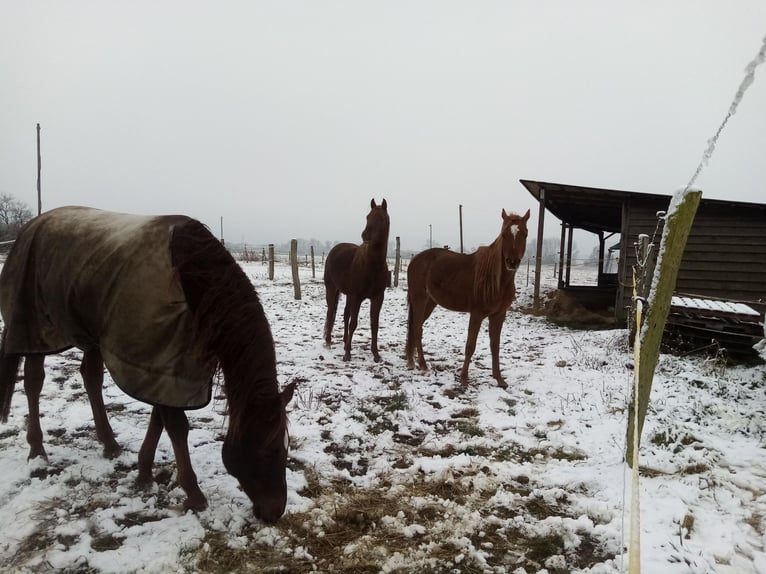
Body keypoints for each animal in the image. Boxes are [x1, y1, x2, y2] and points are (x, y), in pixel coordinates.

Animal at [0, 208, 296, 528]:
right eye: (269, 450)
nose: (275, 512)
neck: (192, 279)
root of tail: (30, 227)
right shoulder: (161, 356)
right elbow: (176, 426)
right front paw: (194, 494)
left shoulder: (166, 365)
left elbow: (158, 418)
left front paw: (143, 472)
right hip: (36, 326)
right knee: (33, 381)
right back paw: (37, 450)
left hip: (91, 334)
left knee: (90, 377)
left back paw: (109, 444)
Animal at [326, 198, 392, 360]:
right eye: (367, 216)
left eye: (382, 219)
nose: (365, 235)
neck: (373, 265)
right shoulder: (357, 297)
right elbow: (353, 323)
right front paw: (347, 355)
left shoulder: (377, 297)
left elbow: (374, 324)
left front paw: (376, 354)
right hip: (332, 289)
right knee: (331, 313)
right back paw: (329, 342)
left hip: (348, 295)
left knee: (345, 314)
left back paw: (344, 342)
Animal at [404, 209, 532, 390]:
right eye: (504, 234)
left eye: (525, 234)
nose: (512, 262)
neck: (497, 280)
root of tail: (415, 259)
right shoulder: (477, 314)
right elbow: (470, 346)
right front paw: (464, 379)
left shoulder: (499, 315)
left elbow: (495, 346)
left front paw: (499, 380)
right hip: (419, 299)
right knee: (417, 329)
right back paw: (423, 365)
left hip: (430, 302)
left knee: (416, 327)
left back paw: (412, 361)